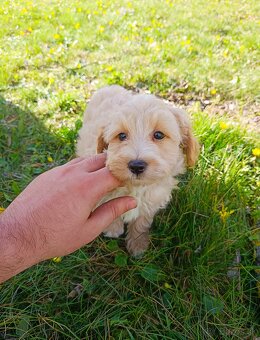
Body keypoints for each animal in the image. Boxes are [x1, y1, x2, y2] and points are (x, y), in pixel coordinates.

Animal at [76, 86, 199, 256]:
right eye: (121, 136)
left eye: (159, 135)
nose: (136, 166)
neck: (136, 188)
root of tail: (110, 86)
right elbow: (108, 205)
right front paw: (113, 229)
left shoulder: (153, 200)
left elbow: (142, 222)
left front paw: (138, 244)